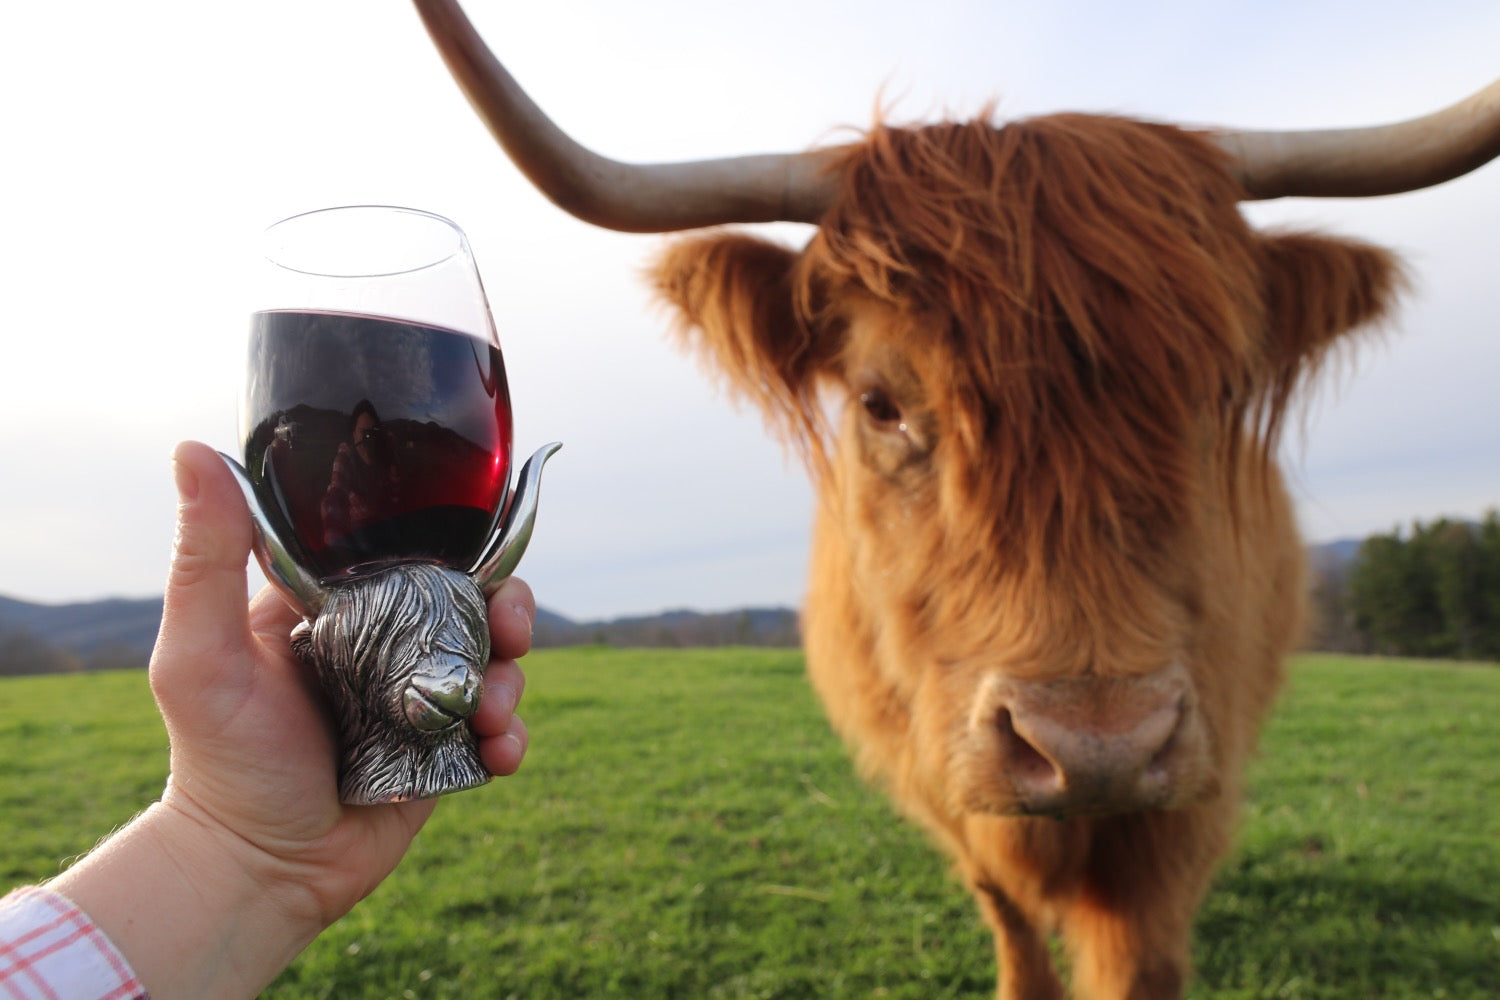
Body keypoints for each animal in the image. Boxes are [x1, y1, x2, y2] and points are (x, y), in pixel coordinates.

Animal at [412, 3, 1500, 996]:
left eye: (1223, 392)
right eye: (880, 403)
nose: (1095, 746)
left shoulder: (1187, 793)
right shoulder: (946, 779)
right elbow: (1009, 916)